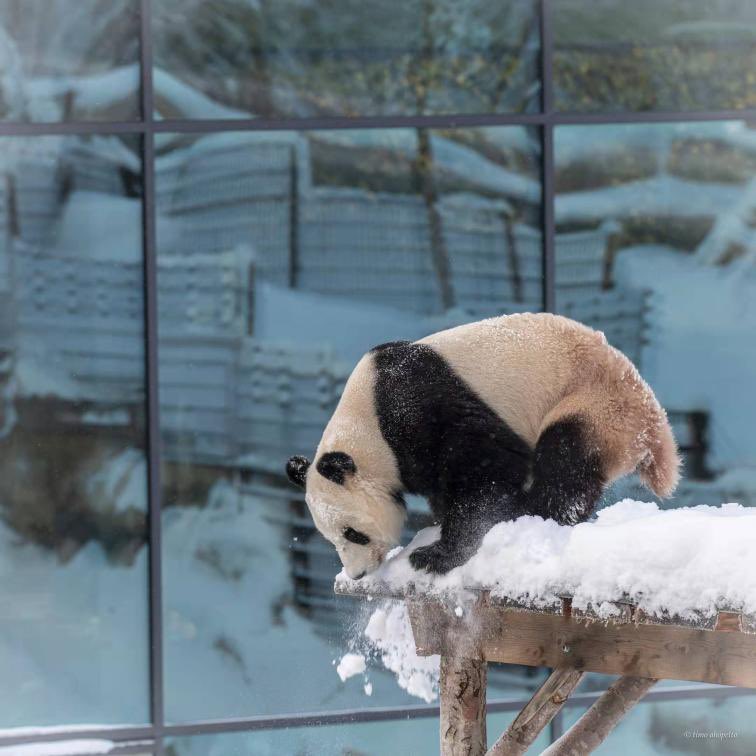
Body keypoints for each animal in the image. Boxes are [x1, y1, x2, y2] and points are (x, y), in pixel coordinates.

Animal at [286, 313, 680, 579]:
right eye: (331, 538)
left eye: (353, 533)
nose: (357, 574)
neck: (369, 425)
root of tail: (653, 420)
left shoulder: (419, 409)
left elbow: (484, 466)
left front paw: (436, 555)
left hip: (596, 404)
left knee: (565, 460)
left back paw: (532, 511)